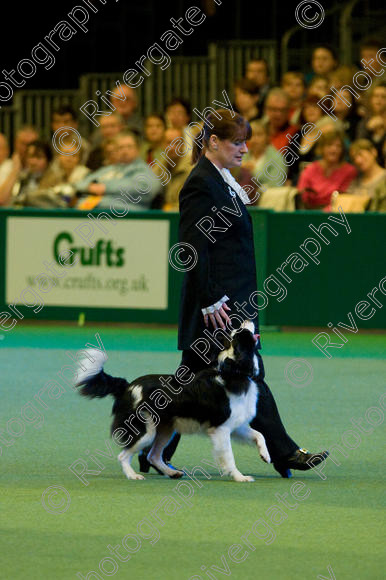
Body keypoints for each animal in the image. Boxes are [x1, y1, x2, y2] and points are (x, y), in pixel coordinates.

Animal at [74, 322, 268, 480]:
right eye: (241, 333)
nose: (247, 320)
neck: (233, 373)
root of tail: (128, 386)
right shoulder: (221, 429)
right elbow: (229, 456)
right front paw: (240, 477)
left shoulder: (236, 425)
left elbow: (260, 434)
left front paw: (265, 455)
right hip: (146, 430)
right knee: (124, 455)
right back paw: (133, 475)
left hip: (165, 429)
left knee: (153, 455)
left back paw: (171, 473)